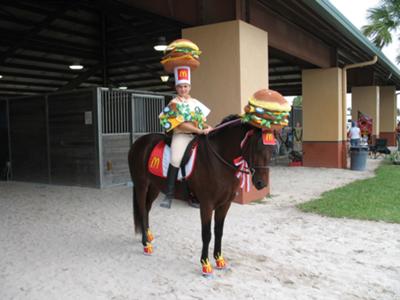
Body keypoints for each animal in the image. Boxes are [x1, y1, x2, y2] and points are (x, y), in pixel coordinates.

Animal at [128, 115, 276, 276]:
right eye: (257, 147)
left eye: (272, 149)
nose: (261, 183)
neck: (218, 158)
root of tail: (139, 142)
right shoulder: (206, 204)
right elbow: (206, 234)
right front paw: (205, 264)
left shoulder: (225, 204)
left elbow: (219, 231)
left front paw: (219, 259)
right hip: (141, 185)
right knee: (142, 209)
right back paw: (146, 244)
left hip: (155, 186)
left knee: (147, 208)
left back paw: (148, 236)